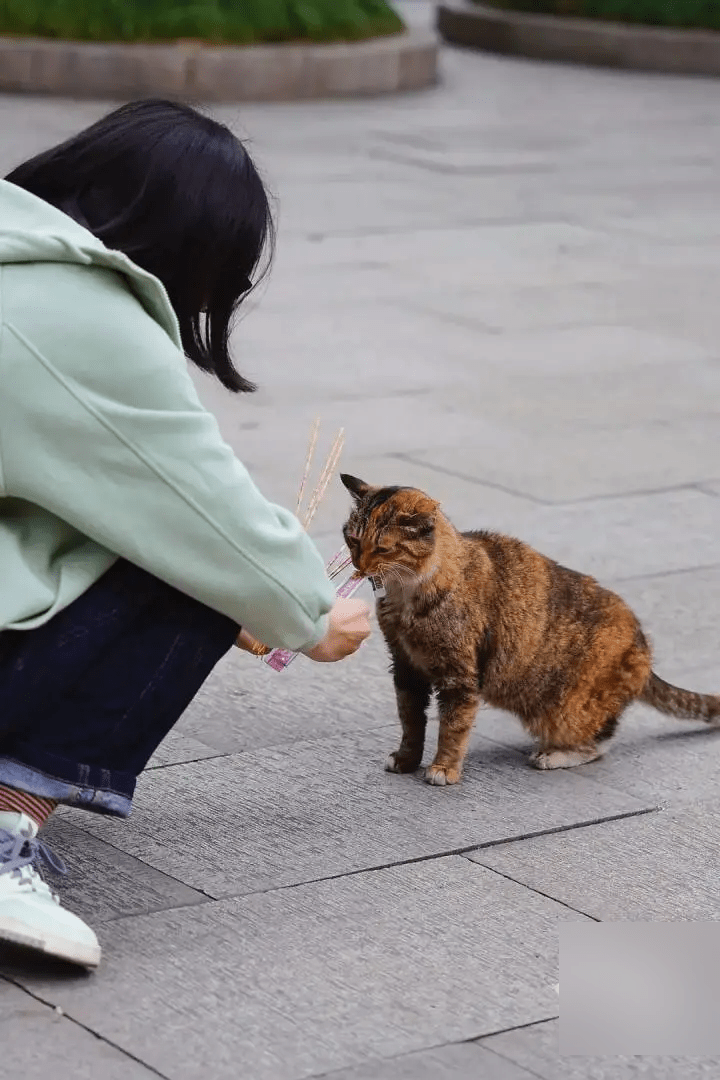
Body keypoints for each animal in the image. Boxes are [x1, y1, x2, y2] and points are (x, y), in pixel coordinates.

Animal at [343, 473, 720, 786]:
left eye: (382, 548)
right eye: (352, 539)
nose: (359, 565)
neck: (406, 595)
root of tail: (643, 647)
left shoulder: (458, 677)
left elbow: (452, 727)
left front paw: (443, 769)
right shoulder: (405, 668)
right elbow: (410, 722)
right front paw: (406, 761)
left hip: (562, 711)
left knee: (599, 743)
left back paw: (552, 756)